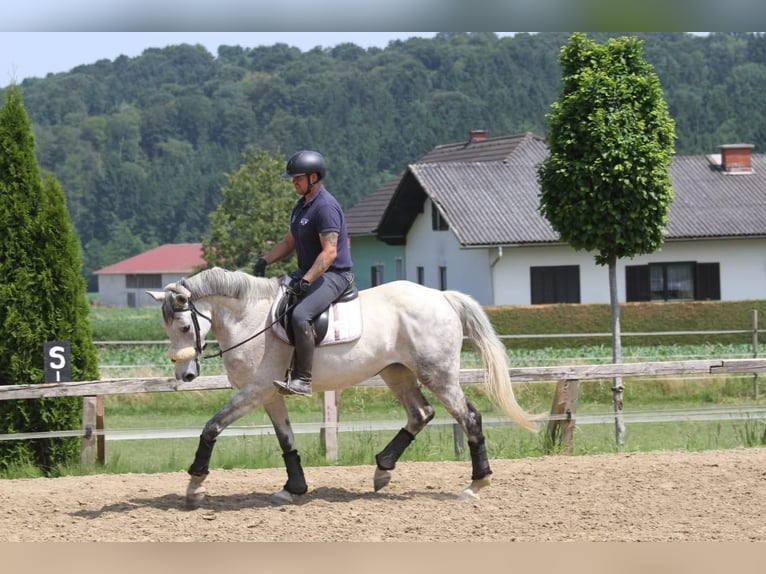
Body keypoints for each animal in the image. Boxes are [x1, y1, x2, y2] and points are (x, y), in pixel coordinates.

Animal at [147, 266, 537, 508]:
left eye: (184, 327)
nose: (184, 375)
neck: (250, 319)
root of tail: (441, 296)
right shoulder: (269, 394)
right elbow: (286, 440)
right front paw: (293, 490)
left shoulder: (255, 391)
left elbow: (212, 426)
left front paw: (195, 486)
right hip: (396, 372)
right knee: (420, 413)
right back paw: (382, 470)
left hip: (438, 374)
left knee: (468, 418)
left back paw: (475, 485)